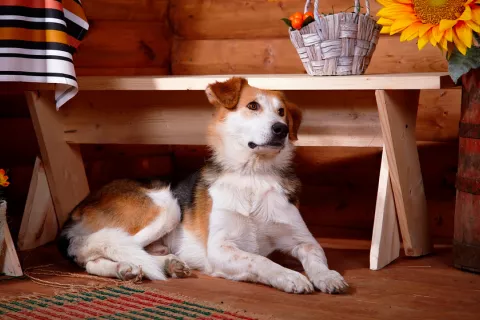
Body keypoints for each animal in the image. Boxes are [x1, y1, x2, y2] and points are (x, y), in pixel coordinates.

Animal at [57, 77, 348, 296]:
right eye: (253, 105)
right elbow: (260, 260)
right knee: (93, 251)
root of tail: (79, 206)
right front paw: (289, 276)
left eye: (281, 112)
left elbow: (317, 256)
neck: (253, 174)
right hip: (166, 206)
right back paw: (126, 267)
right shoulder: (220, 249)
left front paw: (328, 276)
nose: (281, 129)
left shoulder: (303, 240)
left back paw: (162, 265)